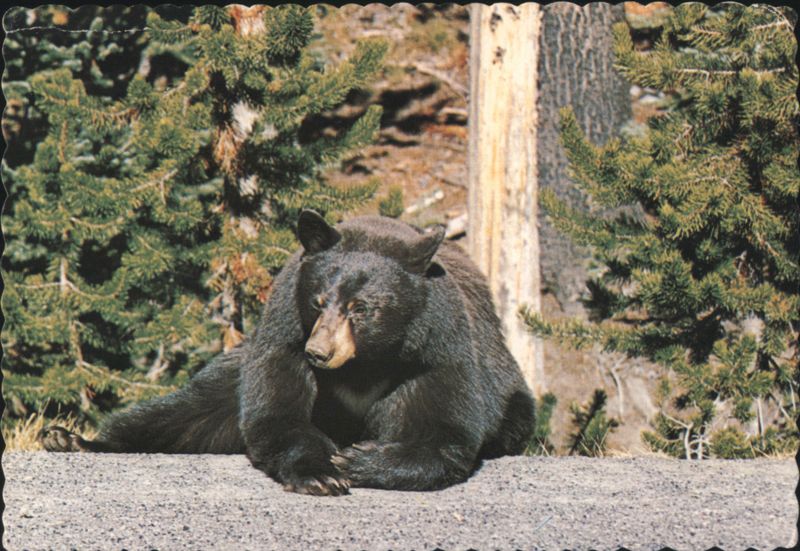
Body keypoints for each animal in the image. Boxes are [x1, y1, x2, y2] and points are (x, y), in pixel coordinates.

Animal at [40, 210, 535, 496]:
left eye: (361, 308)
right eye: (318, 300)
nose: (320, 352)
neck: (367, 363)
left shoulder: (435, 352)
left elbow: (442, 435)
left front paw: (357, 459)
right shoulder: (284, 334)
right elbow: (278, 415)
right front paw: (322, 472)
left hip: (513, 400)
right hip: (237, 368)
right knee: (187, 412)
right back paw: (71, 439)